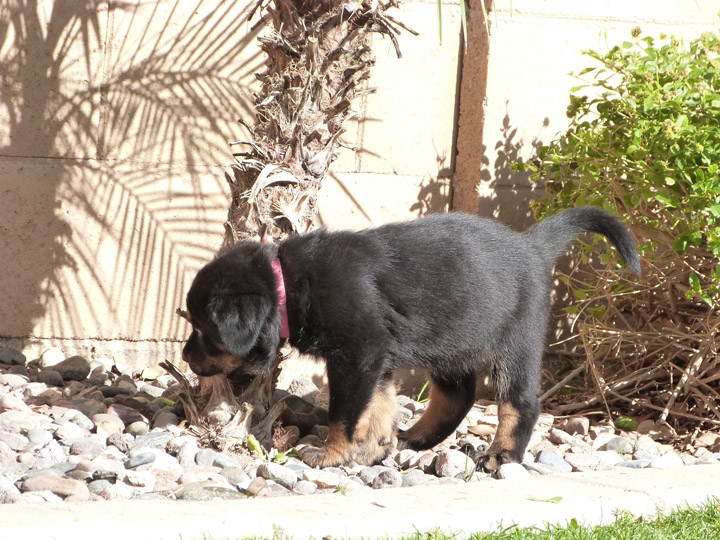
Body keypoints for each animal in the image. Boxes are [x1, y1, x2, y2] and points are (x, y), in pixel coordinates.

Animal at [181, 209, 640, 470]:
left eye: (203, 331)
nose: (184, 357)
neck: (288, 286)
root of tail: (532, 246)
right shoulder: (376, 360)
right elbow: (379, 406)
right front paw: (374, 449)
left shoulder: (358, 355)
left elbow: (344, 415)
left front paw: (332, 455)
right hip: (453, 341)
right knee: (458, 397)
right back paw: (414, 438)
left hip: (514, 339)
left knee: (519, 401)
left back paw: (502, 455)